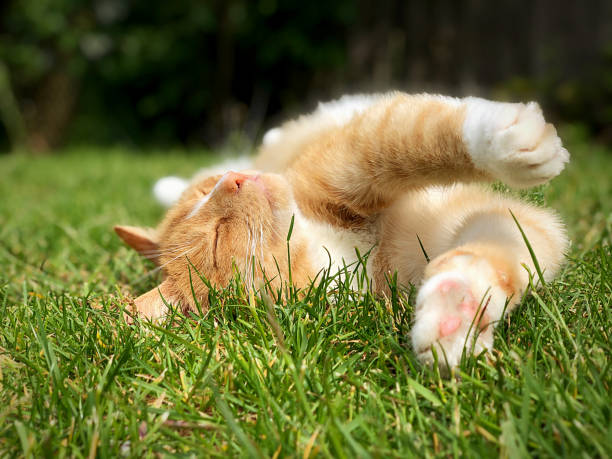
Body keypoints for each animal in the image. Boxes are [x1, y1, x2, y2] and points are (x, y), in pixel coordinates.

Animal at [116, 92, 568, 370]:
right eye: (215, 236)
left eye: (205, 192)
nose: (234, 179)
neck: (343, 254)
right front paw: (454, 316)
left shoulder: (350, 162)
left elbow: (410, 138)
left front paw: (506, 139)